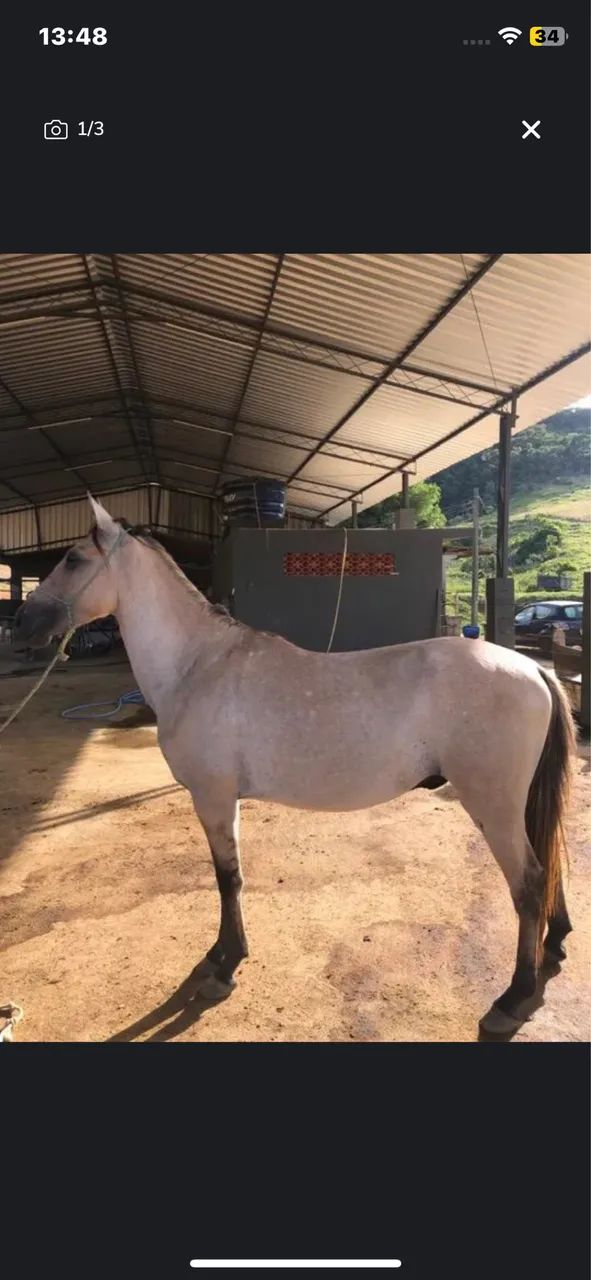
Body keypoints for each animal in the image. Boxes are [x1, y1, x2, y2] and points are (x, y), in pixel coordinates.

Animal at [12, 495, 576, 1037]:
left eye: (73, 559)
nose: (21, 623)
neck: (198, 665)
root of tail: (532, 668)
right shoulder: (225, 801)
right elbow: (229, 877)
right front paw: (220, 955)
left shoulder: (212, 797)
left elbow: (227, 879)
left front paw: (224, 967)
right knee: (548, 863)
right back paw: (554, 945)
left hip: (492, 805)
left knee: (528, 883)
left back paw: (511, 999)